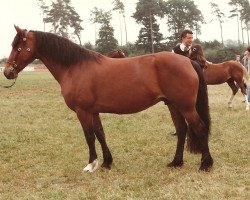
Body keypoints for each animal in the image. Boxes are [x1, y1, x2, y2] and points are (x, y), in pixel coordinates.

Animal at [3, 25, 213, 173]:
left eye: (19, 47)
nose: (7, 72)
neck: (75, 67)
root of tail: (188, 61)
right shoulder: (93, 111)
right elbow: (100, 134)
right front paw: (106, 162)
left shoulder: (82, 111)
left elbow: (89, 136)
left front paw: (91, 164)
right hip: (173, 105)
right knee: (182, 130)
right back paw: (176, 162)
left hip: (186, 106)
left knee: (200, 127)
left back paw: (206, 164)